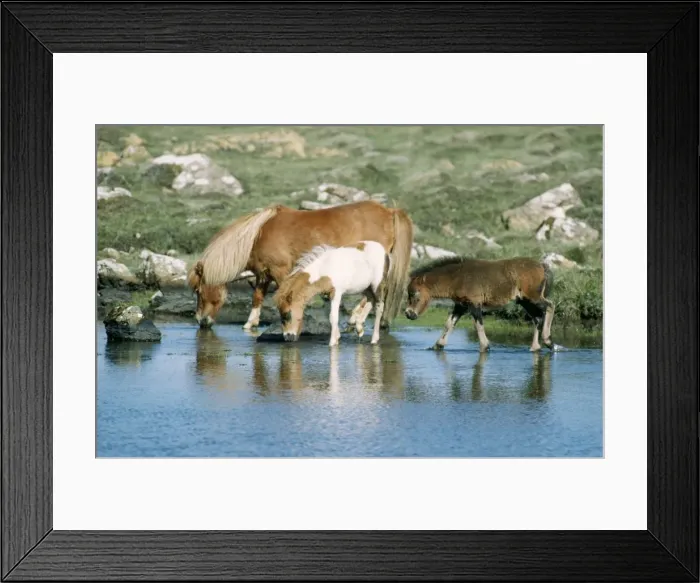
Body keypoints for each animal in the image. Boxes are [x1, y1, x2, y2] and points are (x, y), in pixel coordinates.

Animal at [187, 200, 413, 329]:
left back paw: (356, 319)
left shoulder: (280, 271)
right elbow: (257, 297)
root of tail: (389, 211)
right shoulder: (264, 273)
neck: (257, 235)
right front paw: (250, 323)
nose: (201, 322)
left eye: (198, 290)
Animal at [404, 257, 555, 352]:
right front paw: (437, 345)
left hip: (533, 297)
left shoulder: (474, 304)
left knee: (550, 306)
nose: (409, 313)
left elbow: (478, 325)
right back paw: (535, 347)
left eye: (415, 294)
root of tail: (542, 266)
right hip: (524, 301)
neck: (458, 278)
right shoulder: (461, 305)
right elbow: (449, 324)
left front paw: (485, 346)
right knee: (537, 318)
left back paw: (548, 341)